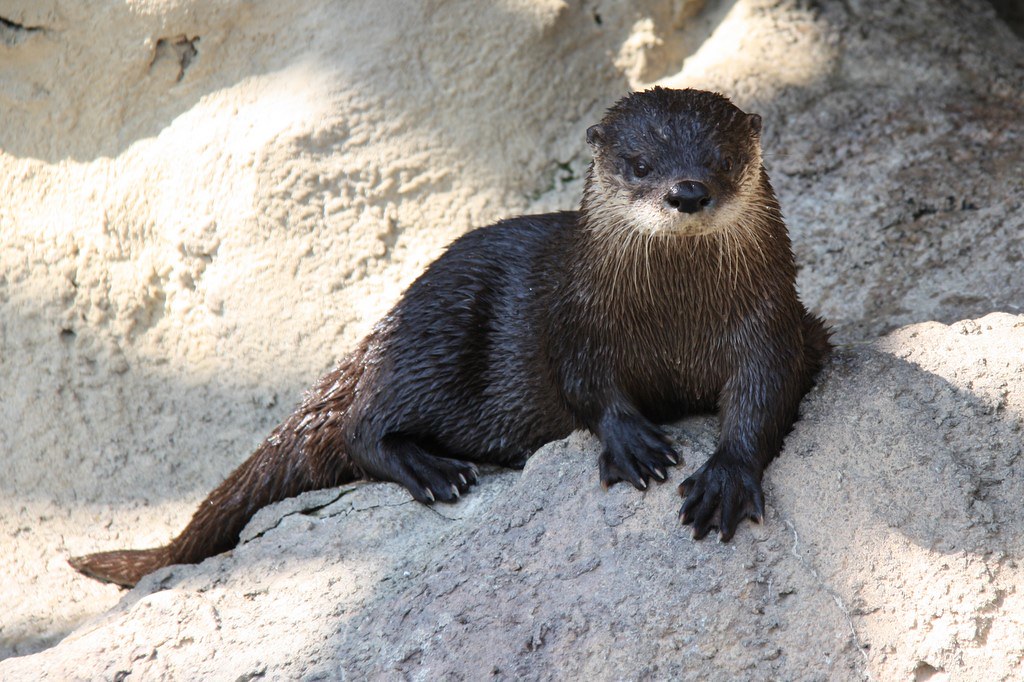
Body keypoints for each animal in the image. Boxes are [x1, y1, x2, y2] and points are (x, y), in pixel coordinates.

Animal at [70, 87, 831, 585]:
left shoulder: (775, 321)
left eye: (724, 159)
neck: (673, 319)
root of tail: (380, 330)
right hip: (433, 334)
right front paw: (633, 444)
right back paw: (435, 470)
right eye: (639, 164)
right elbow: (584, 385)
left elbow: (766, 393)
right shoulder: (576, 316)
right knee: (359, 426)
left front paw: (726, 475)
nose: (688, 191)